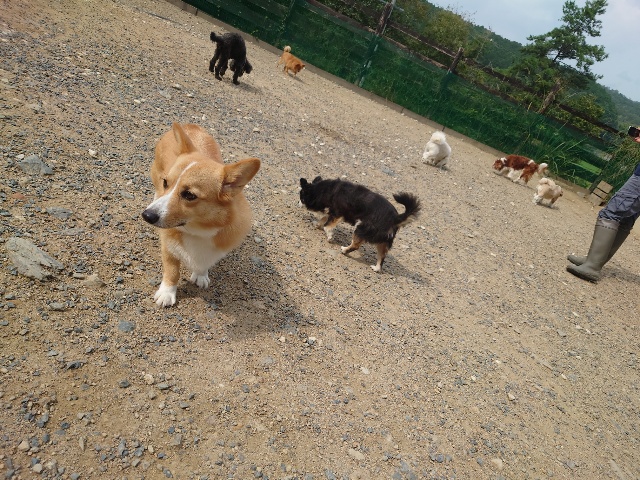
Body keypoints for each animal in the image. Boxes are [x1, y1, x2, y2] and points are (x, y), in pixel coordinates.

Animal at [141, 123, 260, 307]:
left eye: (189, 195)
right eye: (166, 183)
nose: (147, 215)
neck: (198, 231)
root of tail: (190, 126)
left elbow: (205, 263)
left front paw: (201, 275)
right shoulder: (168, 247)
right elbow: (172, 270)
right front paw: (167, 293)